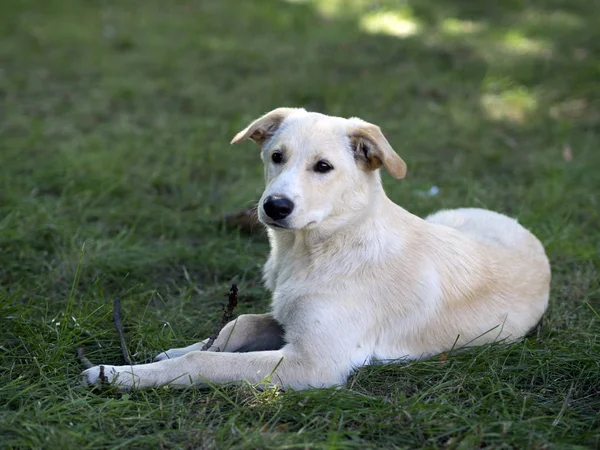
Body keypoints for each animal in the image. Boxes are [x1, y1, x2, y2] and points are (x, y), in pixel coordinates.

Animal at [82, 108, 552, 390]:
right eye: (276, 156)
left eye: (323, 167)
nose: (274, 206)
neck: (314, 249)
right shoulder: (286, 318)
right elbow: (237, 325)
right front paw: (179, 348)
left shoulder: (313, 363)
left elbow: (203, 364)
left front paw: (117, 375)